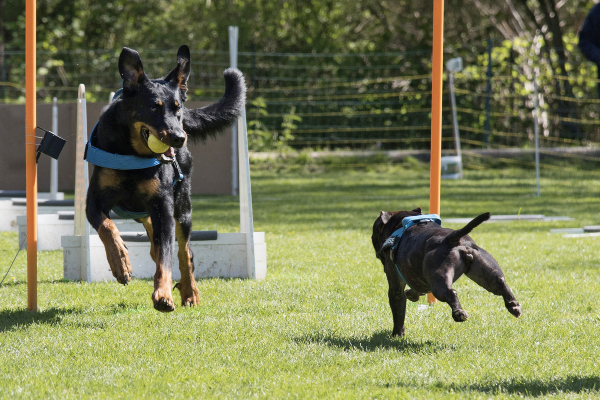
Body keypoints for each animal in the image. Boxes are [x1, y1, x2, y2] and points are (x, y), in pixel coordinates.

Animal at [85, 45, 245, 310]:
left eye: (177, 108)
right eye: (153, 107)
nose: (179, 137)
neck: (133, 152)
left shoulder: (162, 206)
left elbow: (167, 259)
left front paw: (163, 294)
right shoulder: (94, 203)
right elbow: (108, 228)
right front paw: (120, 262)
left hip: (182, 208)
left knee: (183, 251)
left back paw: (190, 292)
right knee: (155, 239)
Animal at [370, 208, 520, 336]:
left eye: (373, 234)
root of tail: (453, 238)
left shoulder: (396, 288)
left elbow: (398, 313)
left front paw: (397, 334)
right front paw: (412, 295)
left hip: (439, 281)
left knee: (450, 292)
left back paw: (459, 313)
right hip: (485, 274)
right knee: (500, 283)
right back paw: (513, 305)